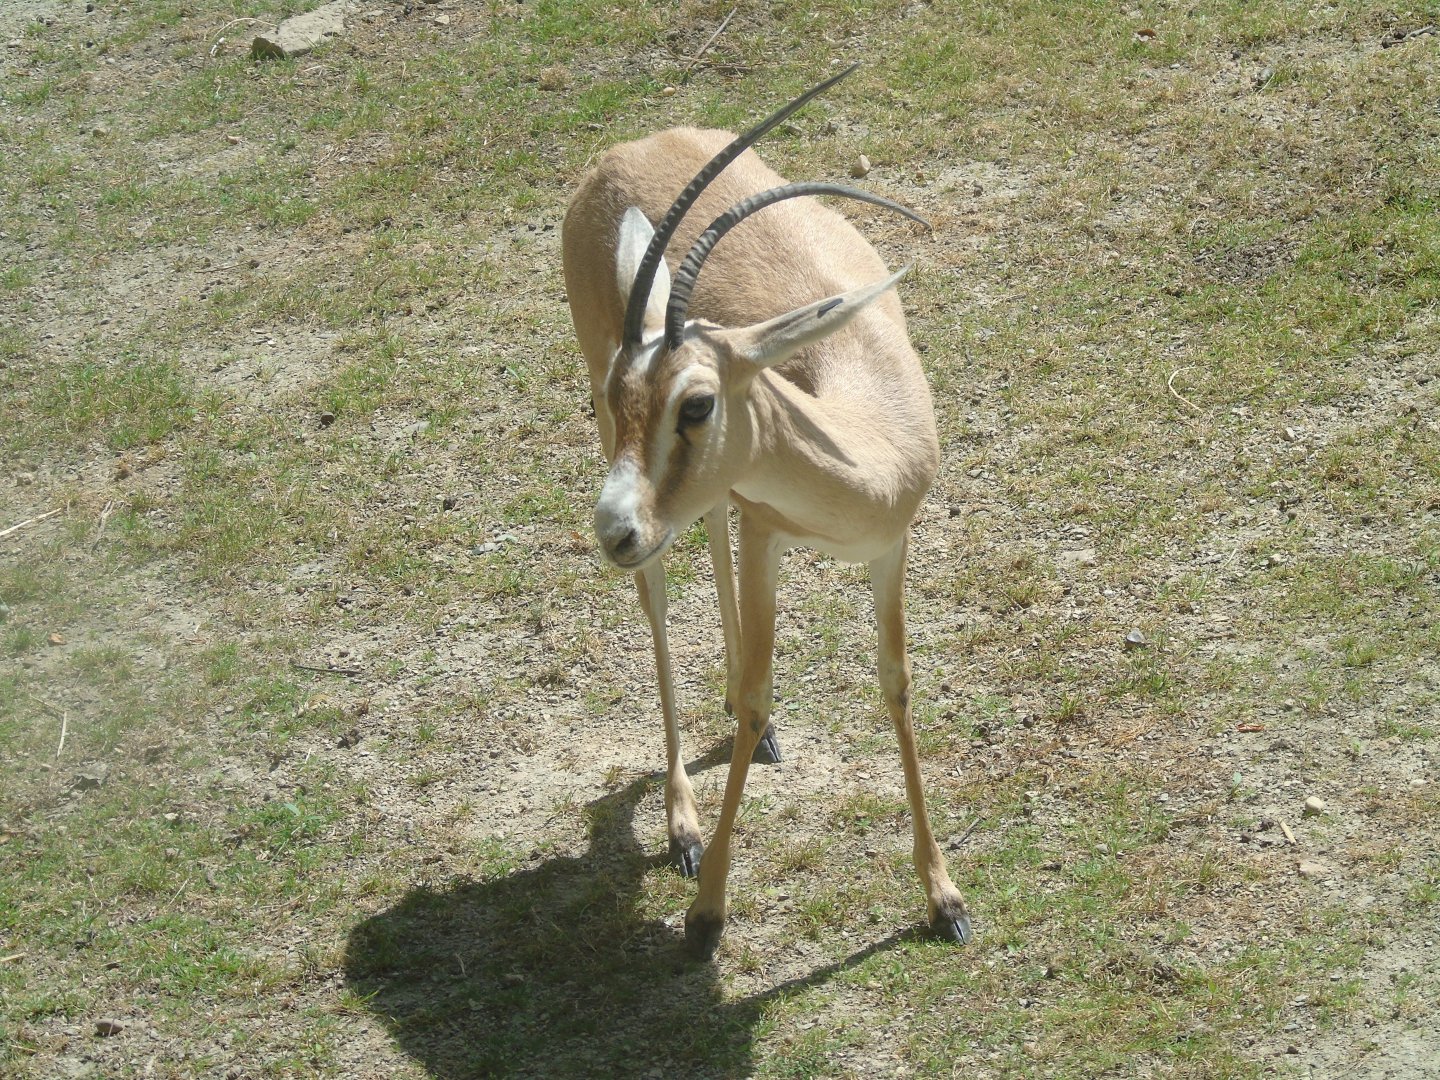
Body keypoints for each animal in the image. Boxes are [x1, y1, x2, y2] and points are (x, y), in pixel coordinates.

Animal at [561, 64, 972, 959]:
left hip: (707, 504)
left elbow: (895, 682)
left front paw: (944, 897)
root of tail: (623, 150)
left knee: (706, 535)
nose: (613, 531)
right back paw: (681, 825)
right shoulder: (768, 531)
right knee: (657, 600)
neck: (865, 423)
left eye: (697, 404)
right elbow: (755, 692)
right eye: (622, 390)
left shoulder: (888, 547)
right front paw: (706, 910)